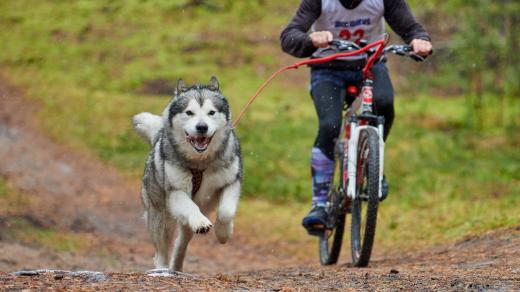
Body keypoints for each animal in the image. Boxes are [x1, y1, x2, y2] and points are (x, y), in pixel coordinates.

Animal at [132, 76, 242, 272]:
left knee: (181, 242)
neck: (200, 163)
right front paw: (202, 222)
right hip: (160, 216)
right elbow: (191, 208)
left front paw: (223, 234)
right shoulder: (176, 192)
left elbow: (226, 212)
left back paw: (177, 266)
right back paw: (163, 269)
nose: (202, 127)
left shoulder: (231, 182)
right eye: (189, 112)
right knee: (161, 249)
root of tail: (157, 136)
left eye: (211, 112)